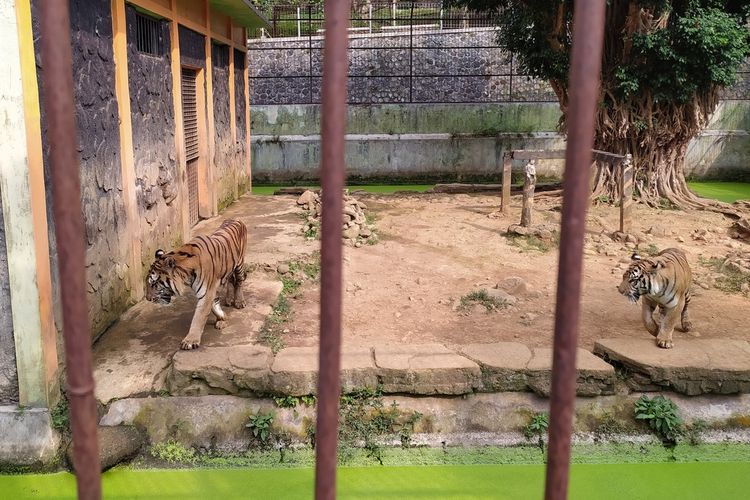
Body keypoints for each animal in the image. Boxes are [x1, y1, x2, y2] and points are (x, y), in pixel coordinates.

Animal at [147, 219, 250, 352]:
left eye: (154, 283)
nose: (148, 298)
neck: (186, 275)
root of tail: (236, 220)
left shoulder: (207, 292)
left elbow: (199, 316)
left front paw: (190, 341)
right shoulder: (210, 291)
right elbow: (214, 306)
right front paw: (222, 318)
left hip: (239, 264)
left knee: (239, 282)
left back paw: (239, 301)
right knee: (230, 280)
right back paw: (228, 300)